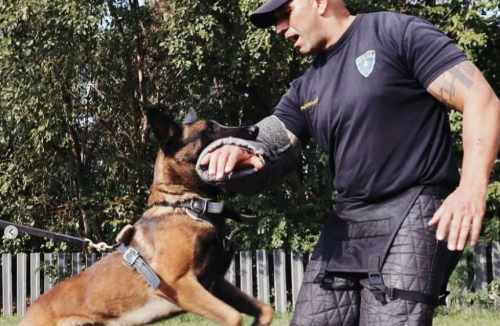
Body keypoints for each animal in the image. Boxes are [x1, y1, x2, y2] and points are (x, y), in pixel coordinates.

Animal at [21, 109, 274, 326]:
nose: (254, 129)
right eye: (210, 129)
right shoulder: (181, 284)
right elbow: (234, 317)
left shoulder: (217, 284)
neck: (188, 206)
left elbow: (266, 309)